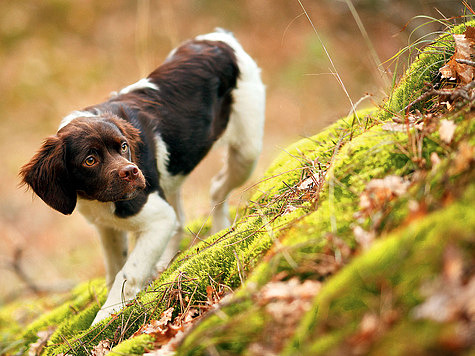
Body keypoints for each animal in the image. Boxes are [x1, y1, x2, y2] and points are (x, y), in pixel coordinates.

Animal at [20, 29, 266, 326]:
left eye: (124, 146)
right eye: (90, 160)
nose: (132, 171)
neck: (99, 199)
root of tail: (218, 37)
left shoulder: (156, 215)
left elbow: (128, 271)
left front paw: (106, 314)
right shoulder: (107, 226)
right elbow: (115, 266)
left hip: (246, 149)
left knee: (217, 187)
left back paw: (220, 230)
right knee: (182, 217)